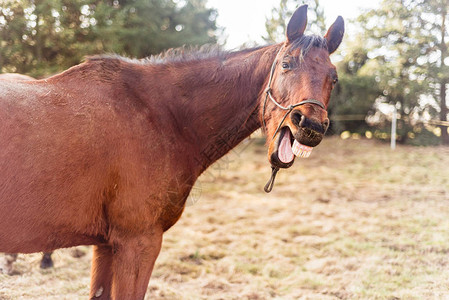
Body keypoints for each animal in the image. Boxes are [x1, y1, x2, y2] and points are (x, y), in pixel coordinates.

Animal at [0, 5, 344, 300]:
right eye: (286, 65)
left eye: (334, 77)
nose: (310, 125)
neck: (159, 114)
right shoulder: (137, 243)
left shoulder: (106, 245)